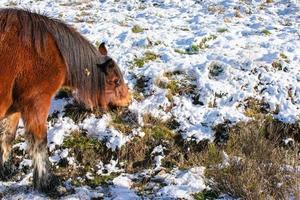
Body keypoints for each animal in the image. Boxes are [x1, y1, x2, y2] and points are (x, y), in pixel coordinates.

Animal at [0, 8, 131, 193]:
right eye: (116, 81)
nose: (129, 100)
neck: (50, 51)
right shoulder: (36, 104)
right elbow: (39, 144)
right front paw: (48, 183)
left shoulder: (15, 109)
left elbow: (7, 138)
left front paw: (5, 171)